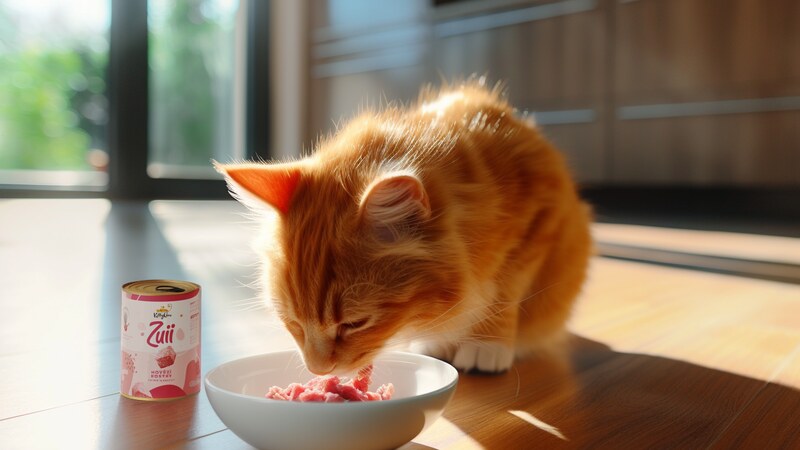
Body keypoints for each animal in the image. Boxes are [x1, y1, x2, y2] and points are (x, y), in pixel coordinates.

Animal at [215, 80, 593, 375]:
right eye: (293, 323)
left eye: (355, 324)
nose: (318, 371)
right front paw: (437, 338)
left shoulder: (541, 217)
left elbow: (506, 288)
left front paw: (488, 342)